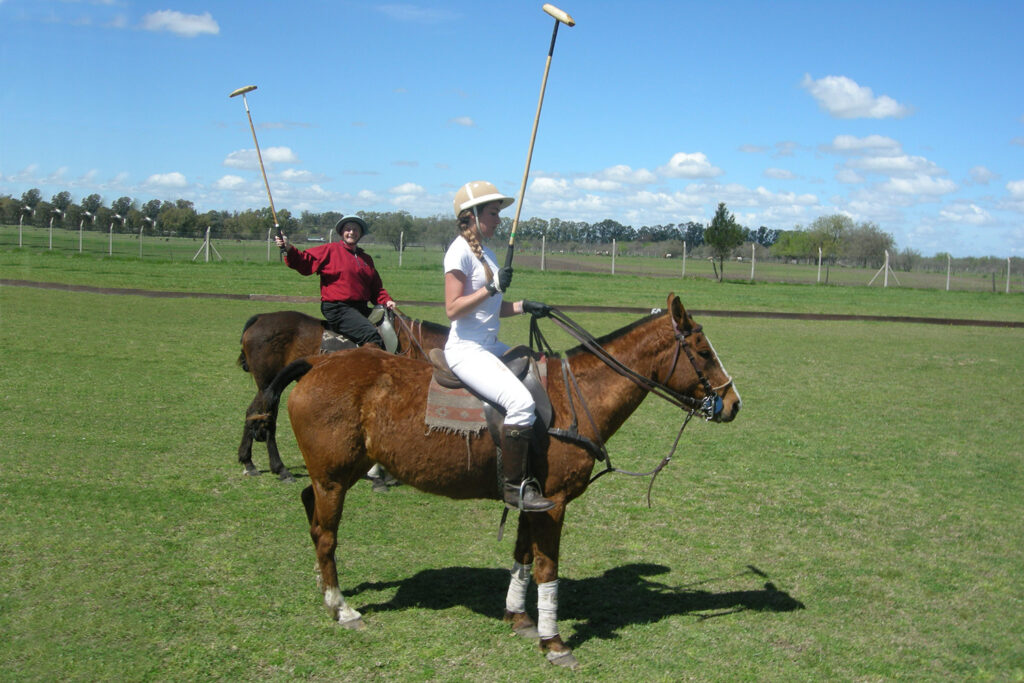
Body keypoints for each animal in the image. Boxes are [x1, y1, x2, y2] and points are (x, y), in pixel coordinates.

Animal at [239, 309, 452, 481]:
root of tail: (260, 318)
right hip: (269, 384)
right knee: (267, 417)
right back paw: (280, 468)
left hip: (266, 387)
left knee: (252, 412)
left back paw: (248, 462)